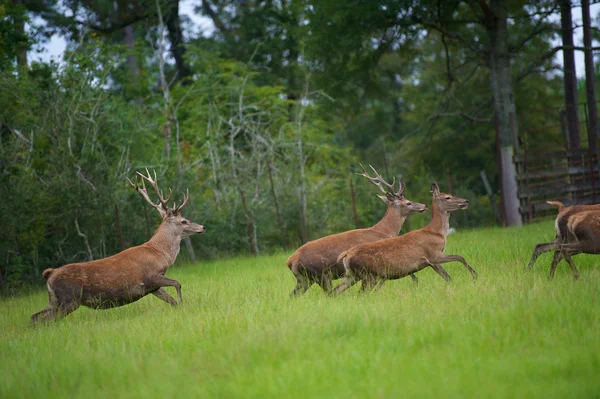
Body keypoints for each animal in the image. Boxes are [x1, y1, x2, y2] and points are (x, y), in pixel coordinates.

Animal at [30, 170, 206, 324]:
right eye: (184, 221)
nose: (202, 227)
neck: (160, 254)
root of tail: (50, 274)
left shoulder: (152, 287)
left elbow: (172, 301)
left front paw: (181, 307)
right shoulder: (152, 276)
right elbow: (177, 283)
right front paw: (184, 303)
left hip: (54, 300)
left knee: (34, 317)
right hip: (69, 299)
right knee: (46, 320)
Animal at [284, 164, 426, 296]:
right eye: (408, 203)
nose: (424, 205)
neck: (384, 231)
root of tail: (290, 261)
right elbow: (411, 276)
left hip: (305, 279)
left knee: (293, 295)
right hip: (321, 275)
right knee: (328, 293)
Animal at [332, 183, 478, 296]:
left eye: (450, 194)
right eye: (447, 197)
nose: (466, 201)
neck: (436, 232)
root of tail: (346, 255)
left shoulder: (431, 262)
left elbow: (447, 277)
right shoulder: (433, 254)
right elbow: (460, 257)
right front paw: (475, 276)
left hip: (352, 275)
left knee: (335, 291)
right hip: (368, 274)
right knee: (360, 294)